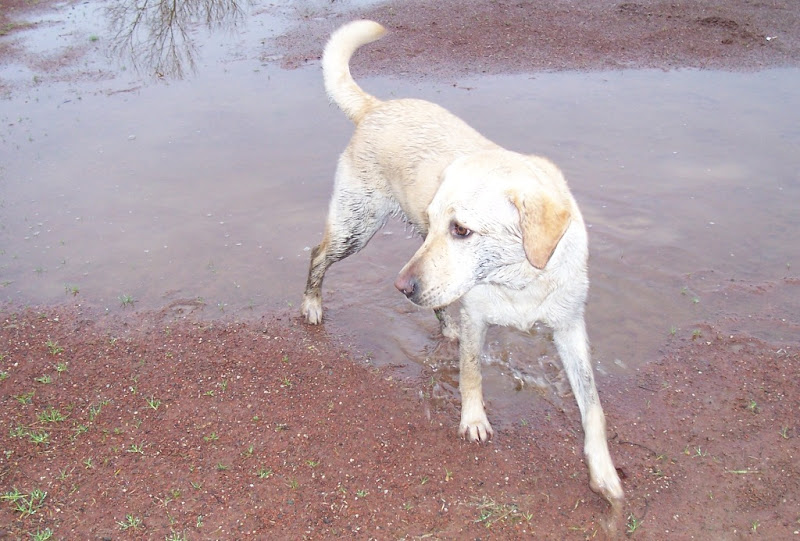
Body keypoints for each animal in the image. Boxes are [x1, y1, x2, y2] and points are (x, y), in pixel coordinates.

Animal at [304, 19, 620, 504]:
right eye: (442, 220)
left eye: (461, 229)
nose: (401, 288)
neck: (521, 279)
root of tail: (377, 107)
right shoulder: (476, 316)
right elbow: (471, 372)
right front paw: (474, 421)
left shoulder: (570, 328)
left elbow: (594, 406)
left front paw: (603, 472)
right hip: (359, 228)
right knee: (318, 255)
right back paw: (312, 305)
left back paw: (440, 324)